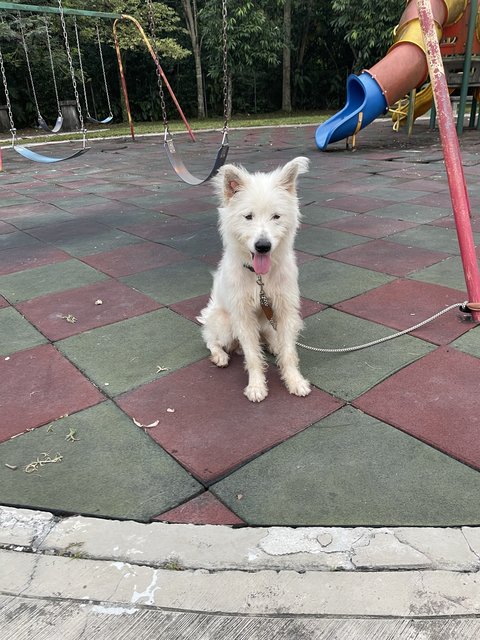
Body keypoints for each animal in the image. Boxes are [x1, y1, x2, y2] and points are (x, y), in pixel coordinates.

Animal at [198, 157, 314, 402]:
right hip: (224, 323)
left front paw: (294, 381)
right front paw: (256, 386)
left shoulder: (285, 310)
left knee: (269, 338)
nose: (263, 246)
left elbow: (289, 352)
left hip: (268, 323)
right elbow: (252, 356)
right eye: (248, 216)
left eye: (276, 216)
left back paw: (273, 345)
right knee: (211, 339)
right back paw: (220, 356)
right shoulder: (242, 316)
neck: (259, 277)